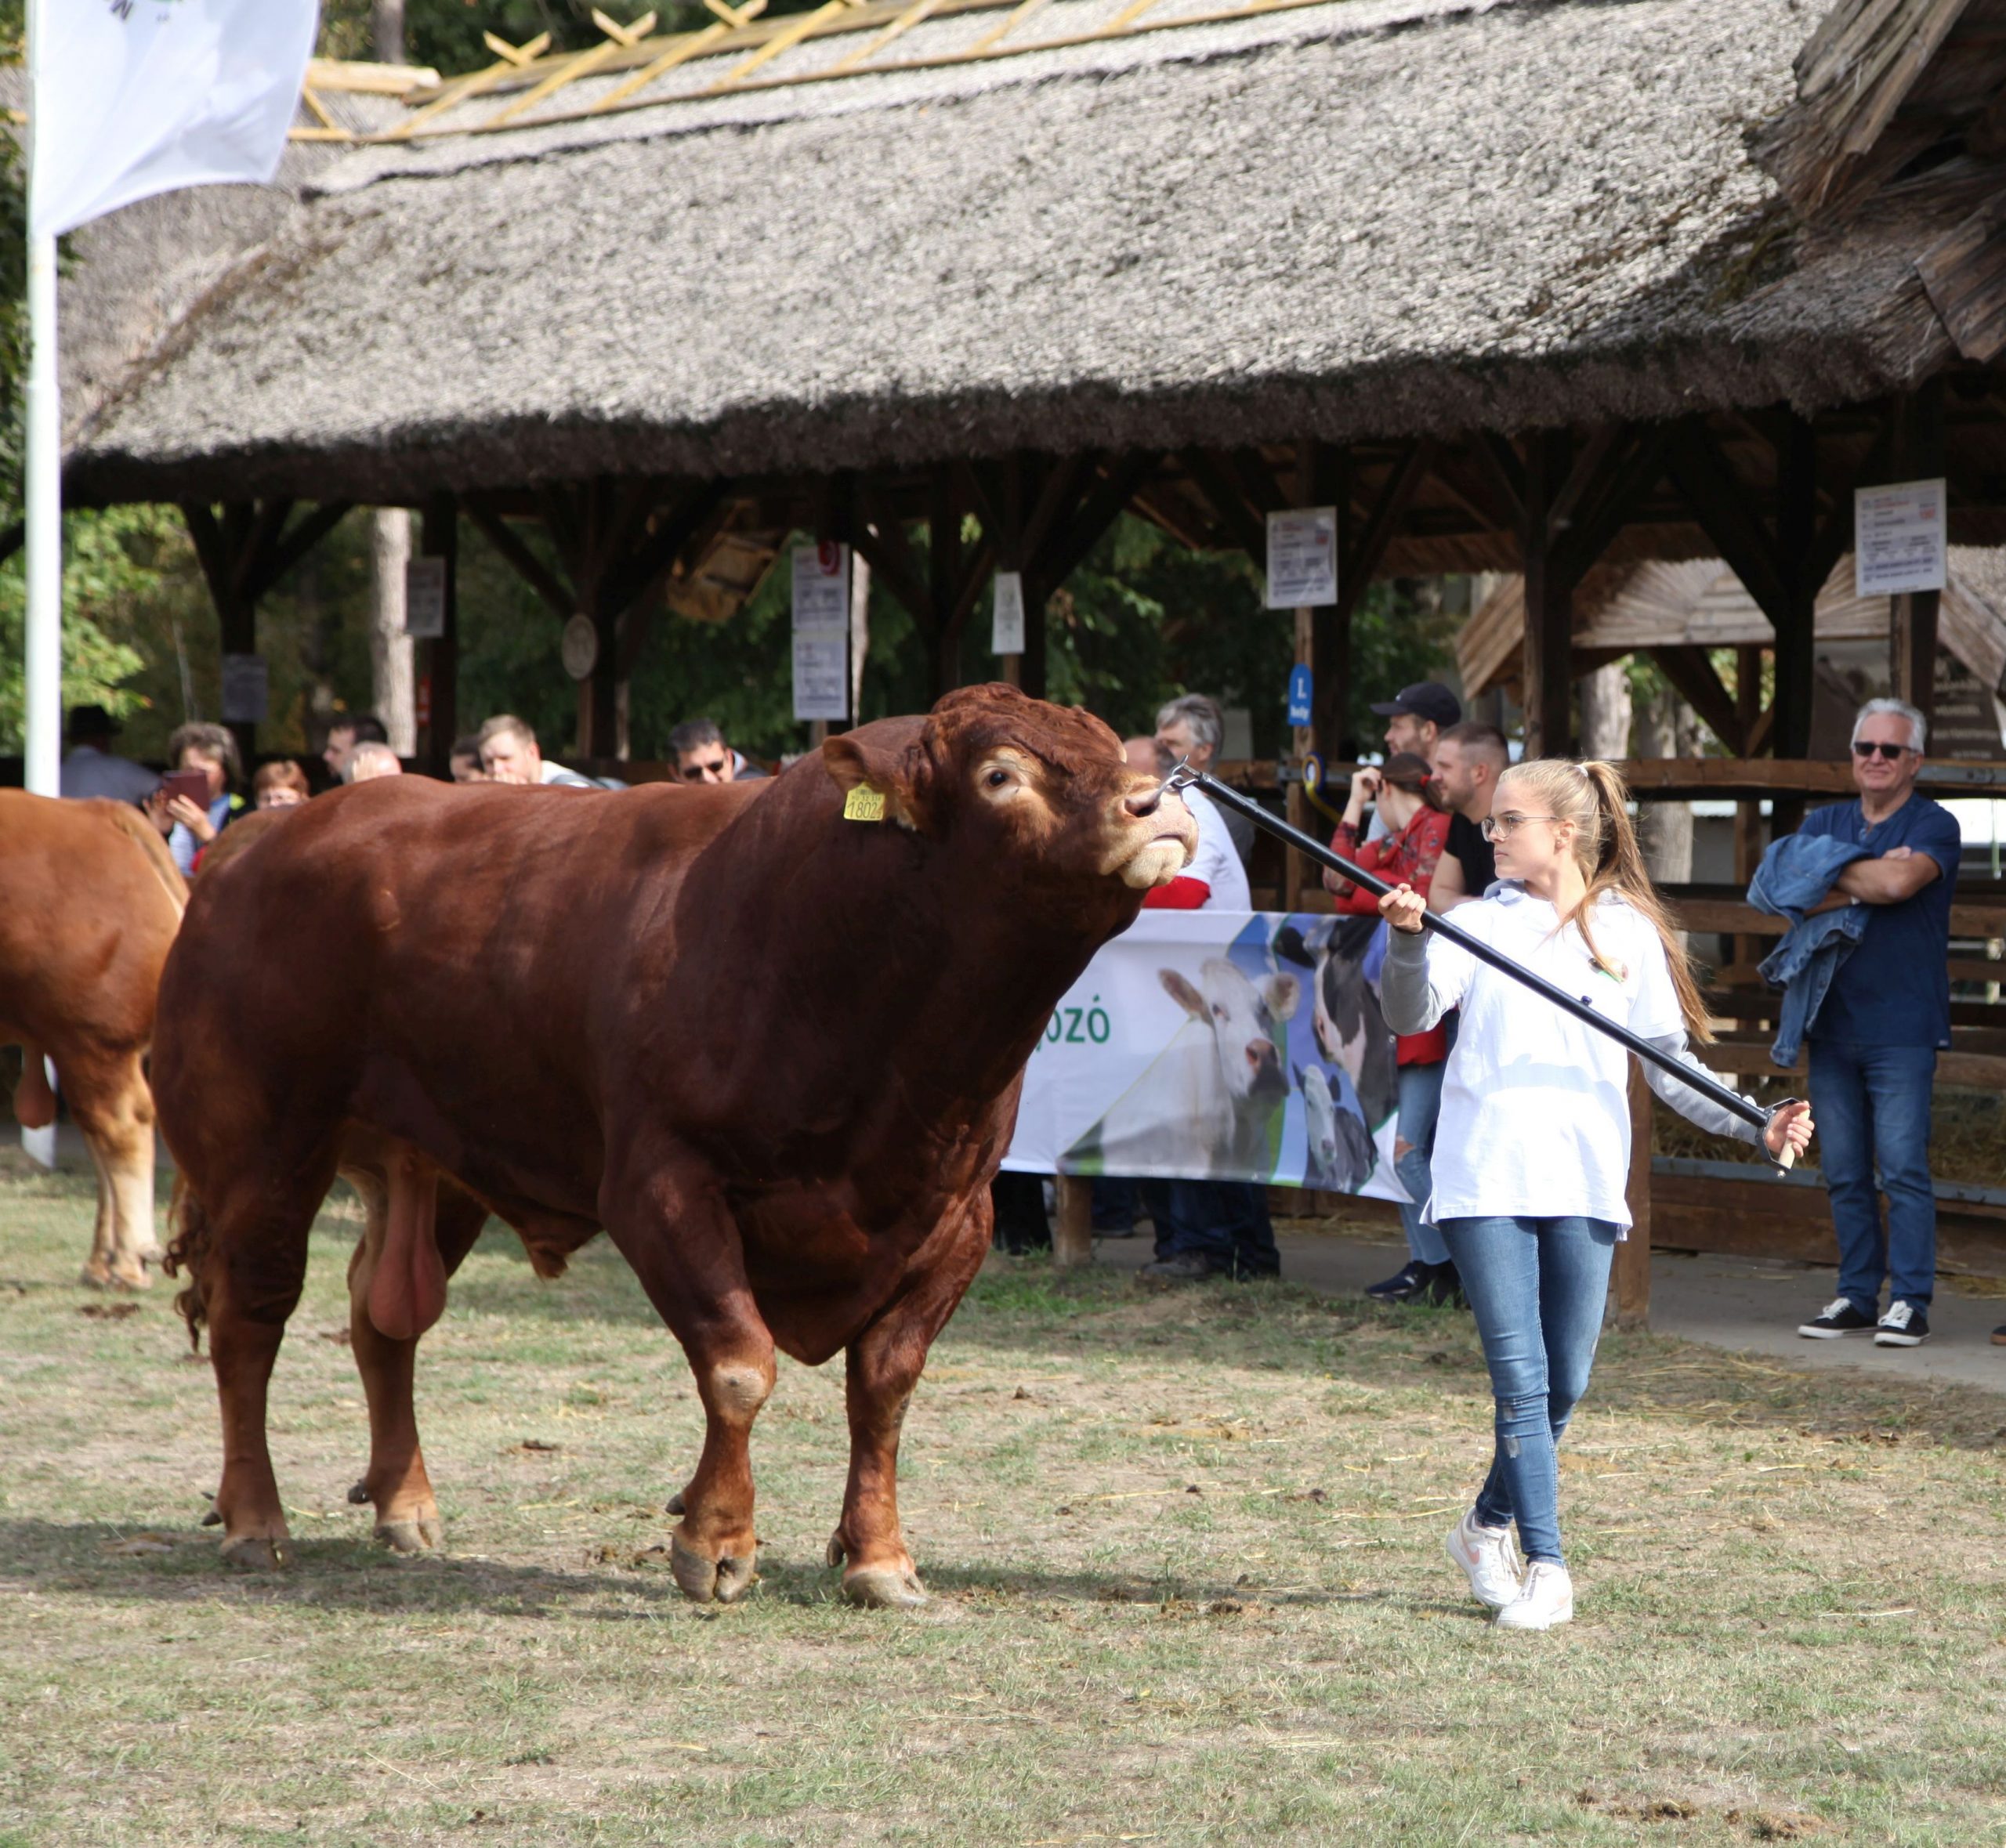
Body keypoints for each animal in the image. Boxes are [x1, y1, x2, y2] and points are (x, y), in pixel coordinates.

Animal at [160, 690, 1187, 1597]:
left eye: (1110, 743)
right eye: (1000, 773)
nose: (1159, 801)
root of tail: (258, 841)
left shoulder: (957, 1215)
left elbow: (885, 1386)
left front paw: (878, 1558)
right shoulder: (661, 1184)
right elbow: (737, 1364)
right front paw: (716, 1542)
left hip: (434, 1165)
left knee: (384, 1318)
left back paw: (404, 1505)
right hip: (262, 1151)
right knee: (250, 1318)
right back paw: (253, 1519)